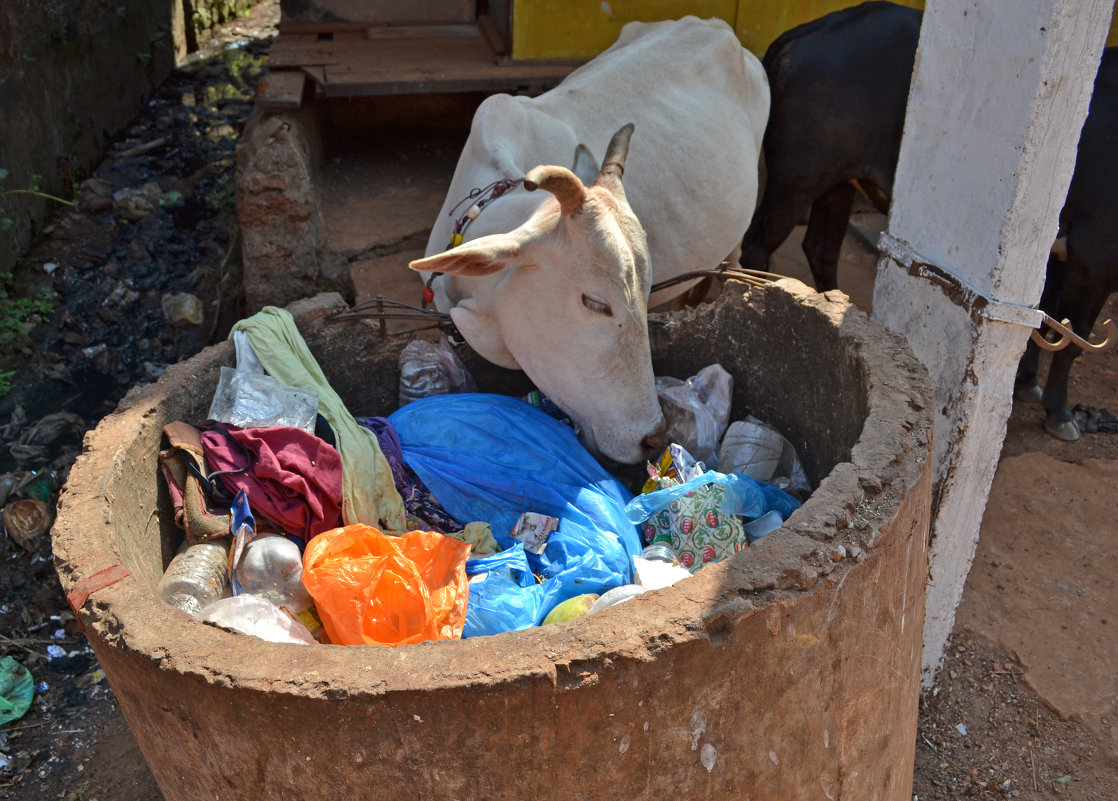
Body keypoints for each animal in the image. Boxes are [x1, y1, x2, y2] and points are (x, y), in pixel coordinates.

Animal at [742, 0, 1118, 440]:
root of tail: (807, 32)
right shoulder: (1096, 255)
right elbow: (1072, 340)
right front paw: (1060, 412)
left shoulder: (1057, 255)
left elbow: (1045, 324)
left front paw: (1027, 383)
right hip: (797, 181)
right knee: (759, 245)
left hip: (837, 184)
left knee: (820, 248)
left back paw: (833, 305)